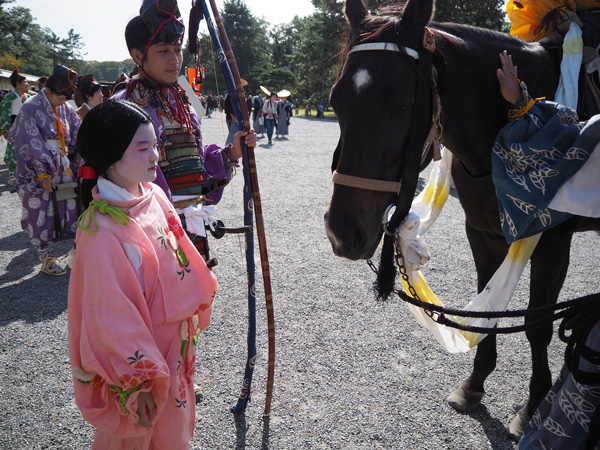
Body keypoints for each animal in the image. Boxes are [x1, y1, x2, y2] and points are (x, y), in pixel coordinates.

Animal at [326, 0, 600, 440]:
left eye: (403, 104)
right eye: (336, 101)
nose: (343, 231)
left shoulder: (553, 242)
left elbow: (537, 325)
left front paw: (533, 405)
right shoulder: (482, 232)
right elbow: (488, 313)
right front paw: (475, 384)